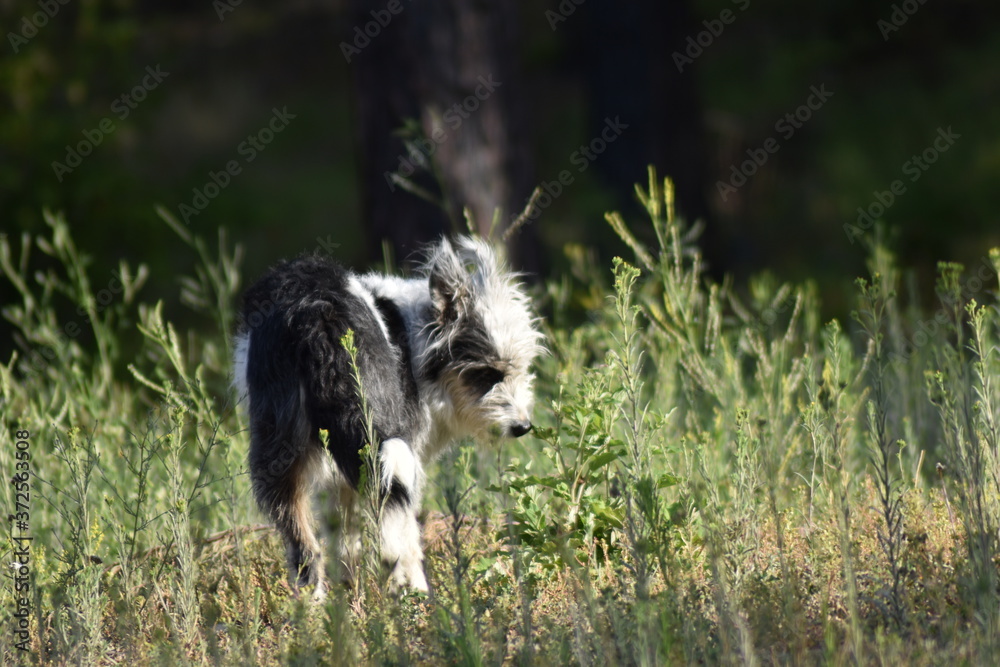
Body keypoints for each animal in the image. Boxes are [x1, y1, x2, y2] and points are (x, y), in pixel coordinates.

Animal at [233, 236, 544, 596]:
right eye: (488, 374)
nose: (523, 427)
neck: (414, 339)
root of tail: (316, 313)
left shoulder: (341, 474)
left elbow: (344, 536)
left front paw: (348, 590)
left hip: (280, 453)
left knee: (302, 544)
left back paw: (315, 604)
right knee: (397, 537)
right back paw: (414, 594)